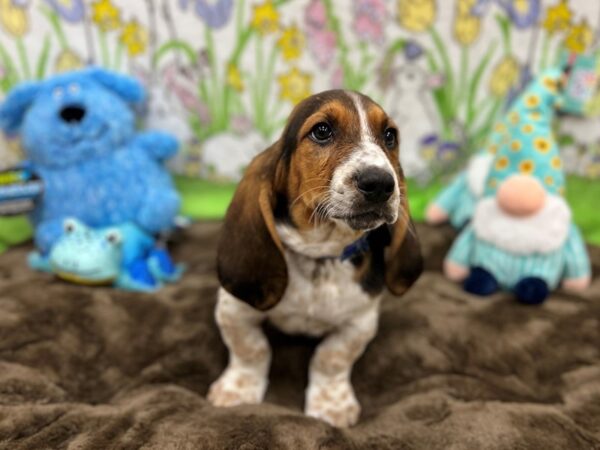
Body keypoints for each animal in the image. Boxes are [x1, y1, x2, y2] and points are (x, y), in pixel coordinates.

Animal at [209, 89, 424, 428]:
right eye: (322, 131)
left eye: (390, 136)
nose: (380, 183)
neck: (320, 255)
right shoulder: (234, 309)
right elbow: (251, 349)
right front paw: (238, 391)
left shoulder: (360, 321)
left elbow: (331, 358)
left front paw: (330, 408)